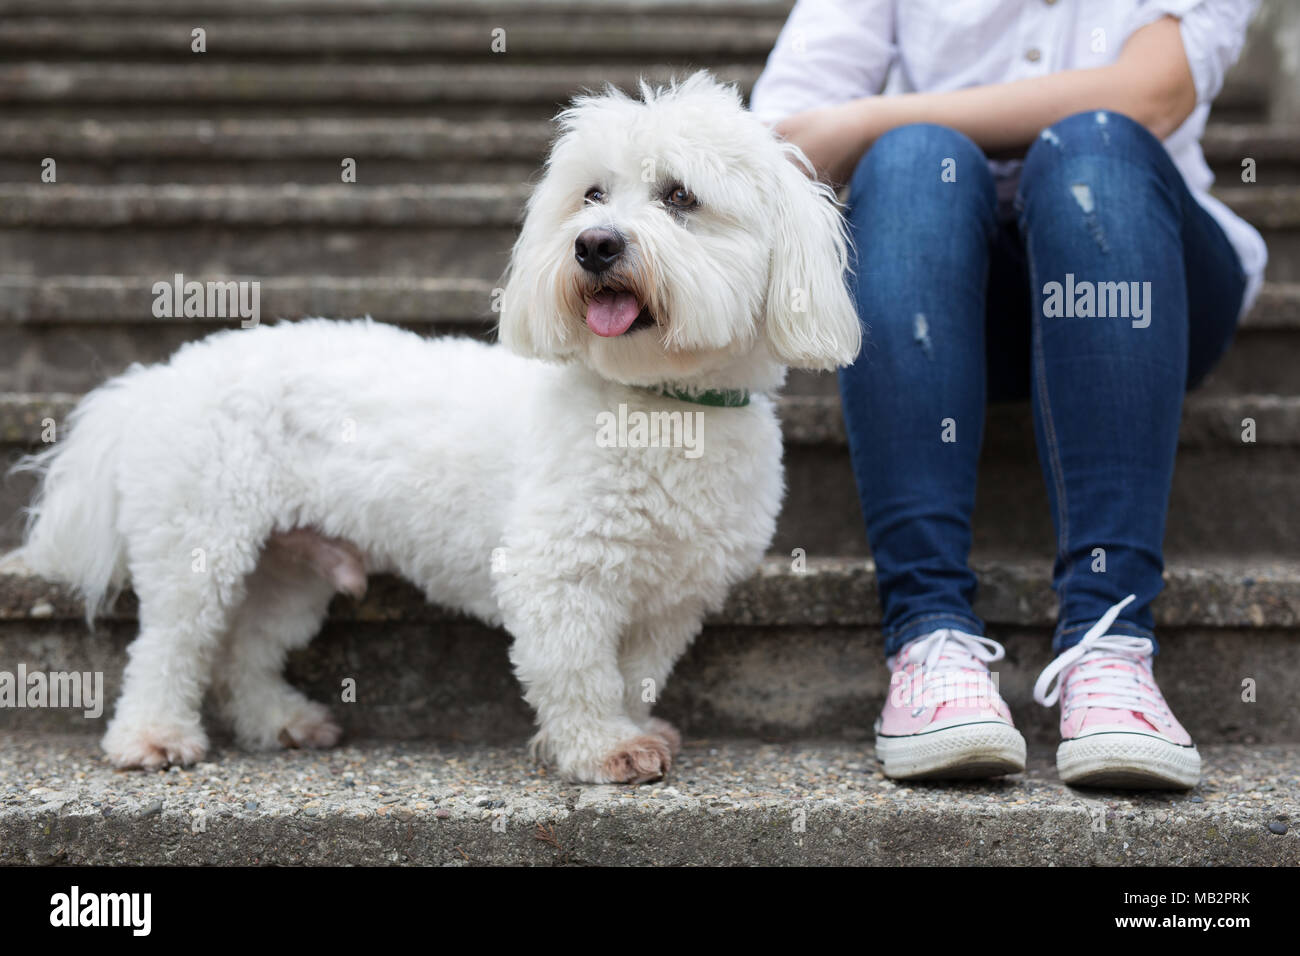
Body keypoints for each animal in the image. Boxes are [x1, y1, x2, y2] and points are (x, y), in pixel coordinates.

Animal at [15, 72, 863, 780]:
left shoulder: (675, 597)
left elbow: (635, 672)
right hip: (199, 539)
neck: (660, 404)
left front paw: (630, 728)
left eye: (680, 197)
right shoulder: (555, 573)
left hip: (287, 567)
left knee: (245, 650)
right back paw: (152, 737)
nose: (595, 244)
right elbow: (580, 671)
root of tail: (158, 378)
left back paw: (279, 720)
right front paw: (602, 748)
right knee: (170, 646)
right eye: (592, 195)